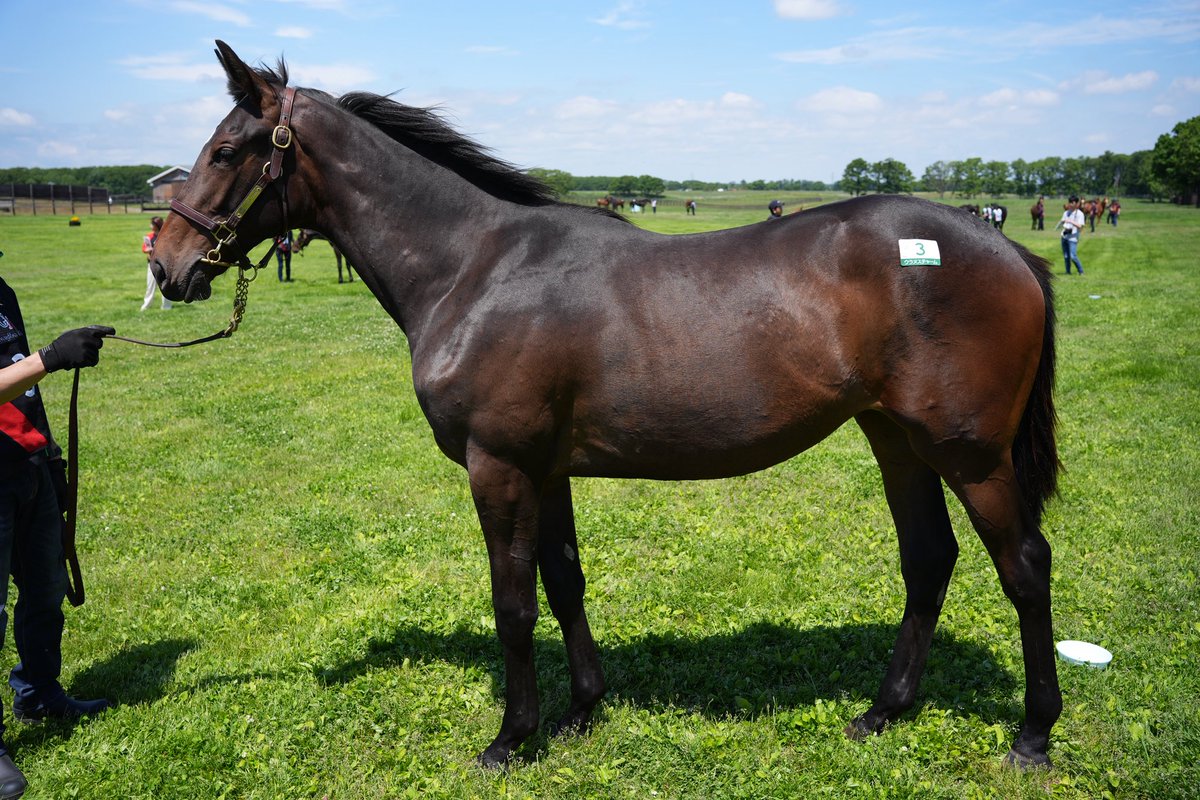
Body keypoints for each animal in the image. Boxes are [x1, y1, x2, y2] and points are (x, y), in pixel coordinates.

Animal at [152, 42, 1063, 770]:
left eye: (226, 149)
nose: (168, 265)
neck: (476, 267)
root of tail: (1002, 243)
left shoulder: (498, 466)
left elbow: (513, 604)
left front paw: (510, 738)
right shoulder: (544, 468)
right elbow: (564, 582)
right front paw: (583, 709)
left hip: (969, 455)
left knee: (1023, 566)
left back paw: (1033, 733)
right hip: (897, 440)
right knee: (929, 560)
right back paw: (882, 711)